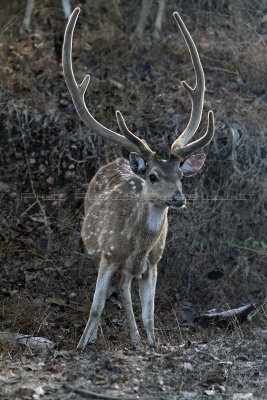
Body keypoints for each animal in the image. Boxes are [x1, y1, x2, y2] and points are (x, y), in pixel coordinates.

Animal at [62, 7, 216, 348]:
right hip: (98, 249)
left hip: (134, 268)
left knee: (125, 291)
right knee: (112, 292)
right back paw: (96, 336)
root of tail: (118, 161)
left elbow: (149, 314)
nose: (179, 198)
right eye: (154, 176)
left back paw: (131, 337)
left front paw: (150, 343)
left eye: (181, 175)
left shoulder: (153, 264)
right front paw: (81, 345)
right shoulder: (108, 255)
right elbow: (96, 307)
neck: (136, 244)